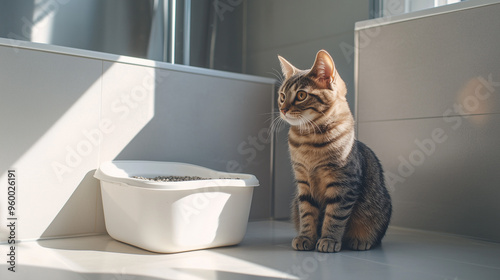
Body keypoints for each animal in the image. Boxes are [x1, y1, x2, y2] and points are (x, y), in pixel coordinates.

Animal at [278, 49, 390, 253]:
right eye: (282, 96)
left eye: (301, 95)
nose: (282, 109)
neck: (308, 141)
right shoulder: (303, 182)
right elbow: (307, 214)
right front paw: (306, 237)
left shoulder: (343, 185)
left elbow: (335, 216)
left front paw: (328, 239)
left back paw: (359, 241)